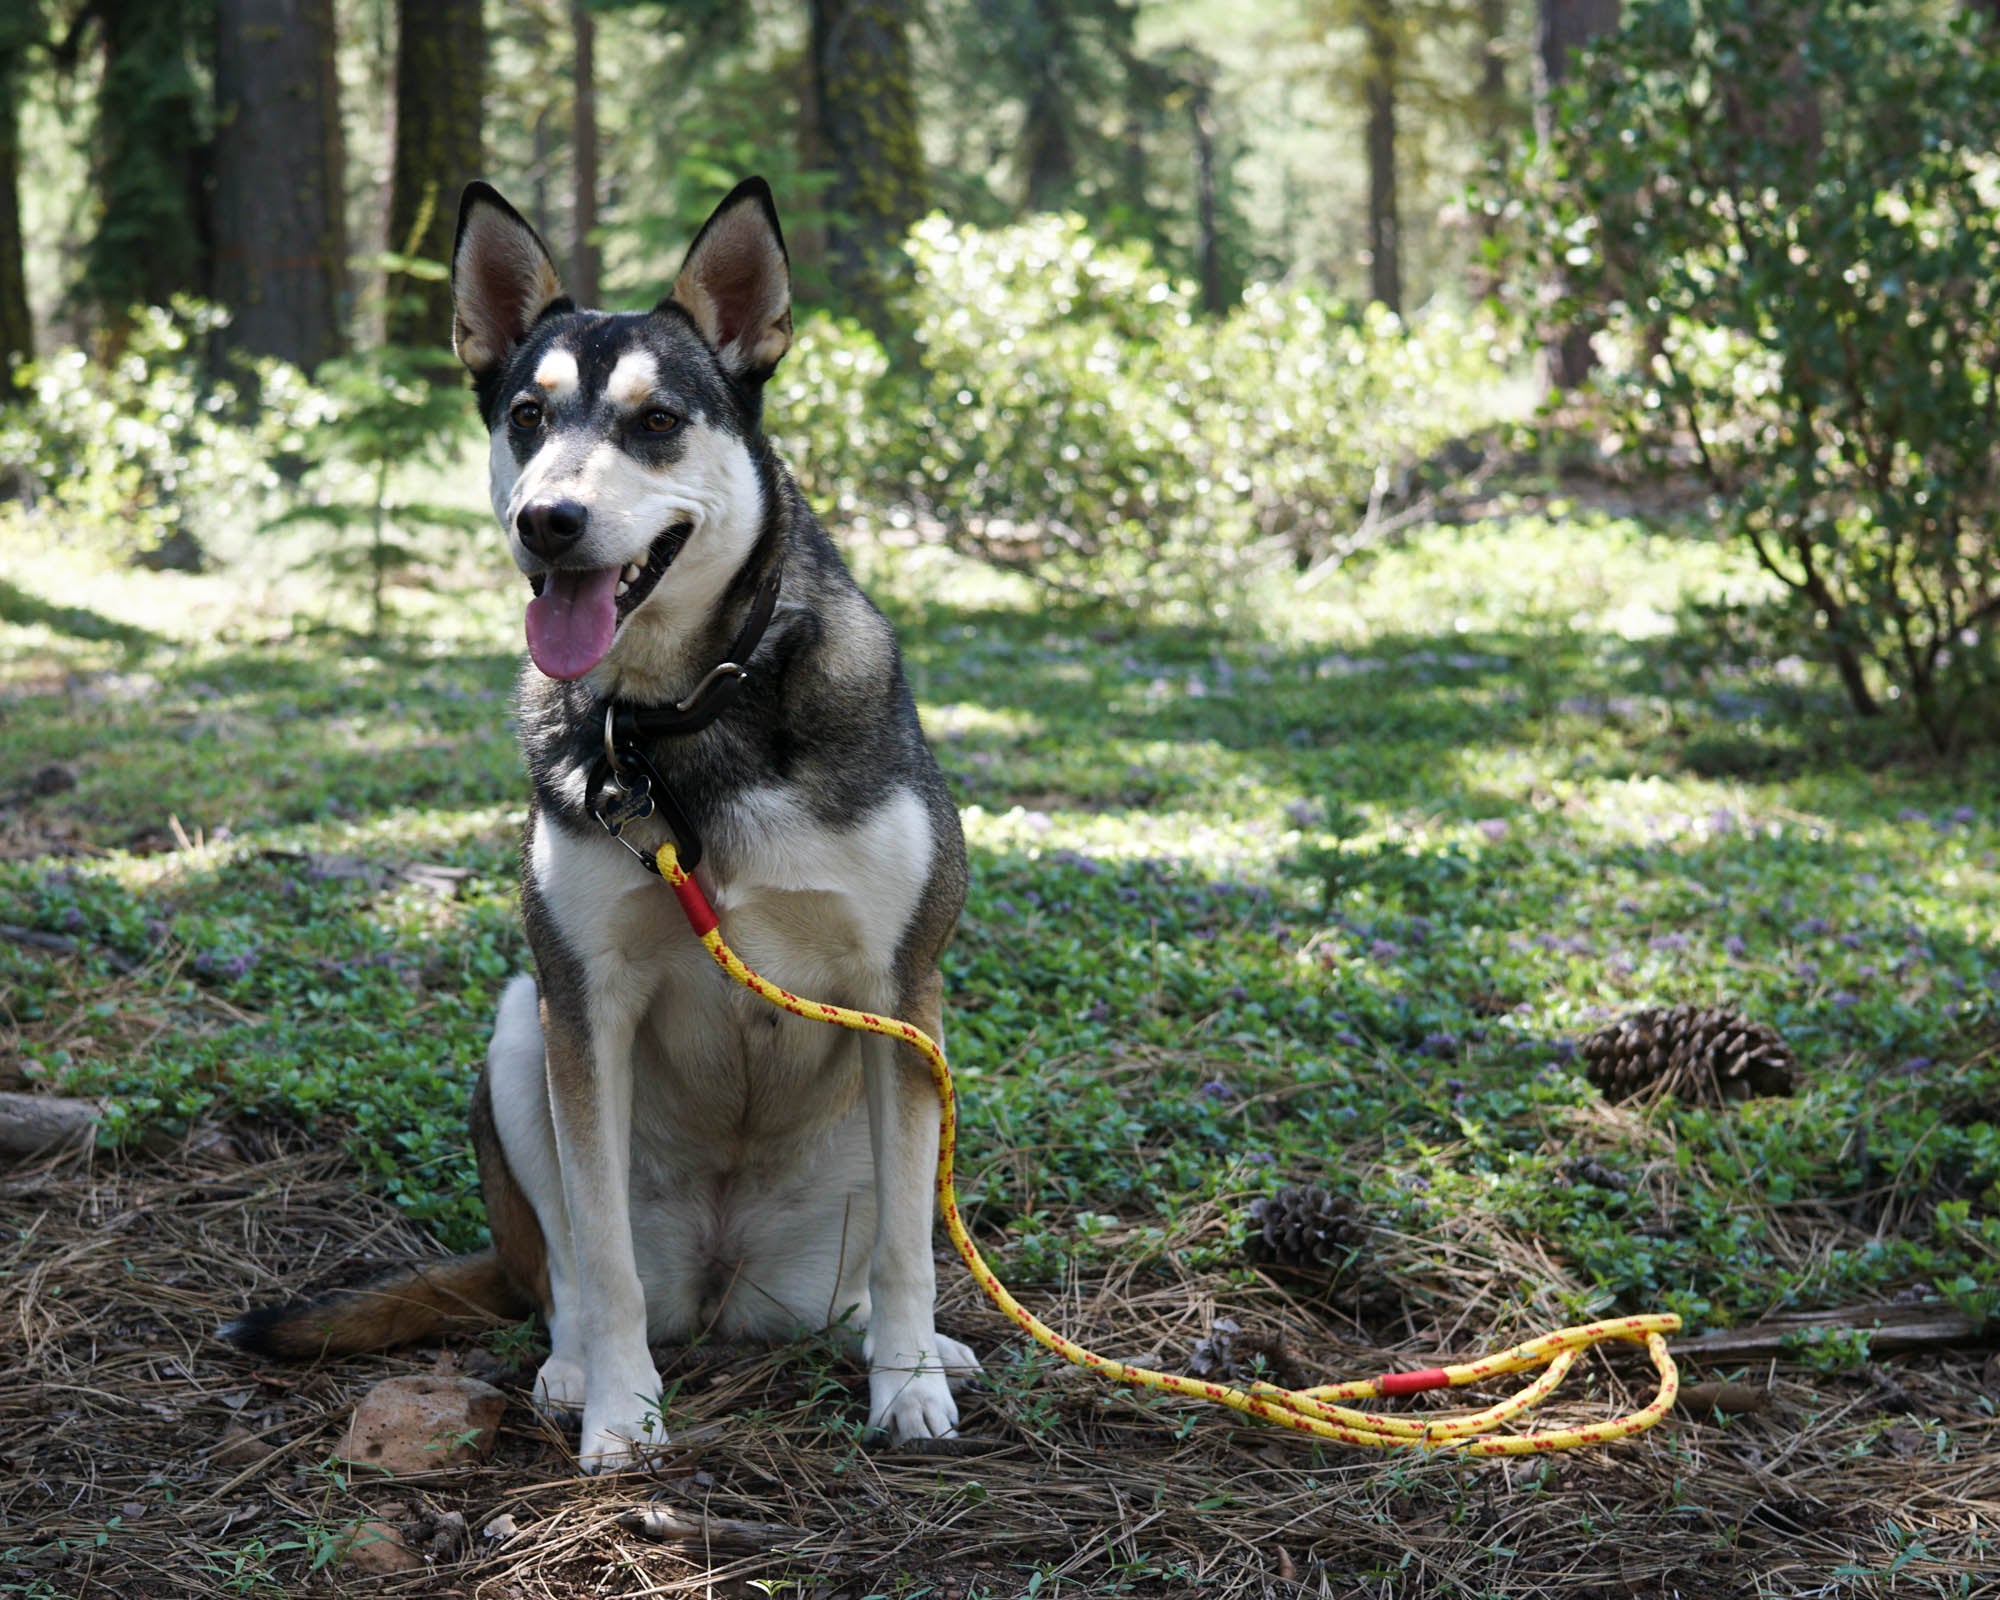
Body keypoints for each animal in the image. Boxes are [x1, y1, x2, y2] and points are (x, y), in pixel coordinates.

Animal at [227, 181, 976, 1472]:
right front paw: (624, 1413)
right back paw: (573, 1366)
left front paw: (909, 1383)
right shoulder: (584, 1004)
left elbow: (904, 1249)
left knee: (868, 1264)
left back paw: (902, 1339)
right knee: (564, 1276)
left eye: (658, 420)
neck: (681, 719)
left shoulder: (898, 992)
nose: (548, 519)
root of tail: (727, 1286)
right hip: (518, 1032)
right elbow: (603, 1253)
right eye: (527, 417)